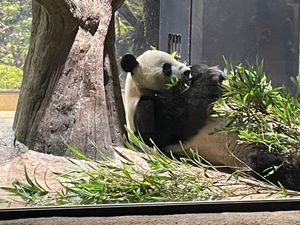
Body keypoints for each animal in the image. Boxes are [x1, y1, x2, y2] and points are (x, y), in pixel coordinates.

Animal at [120, 49, 300, 192]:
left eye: (175, 58)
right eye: (166, 68)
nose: (186, 71)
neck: (136, 90)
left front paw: (201, 70)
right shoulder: (144, 110)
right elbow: (173, 124)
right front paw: (210, 77)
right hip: (249, 149)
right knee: (270, 164)